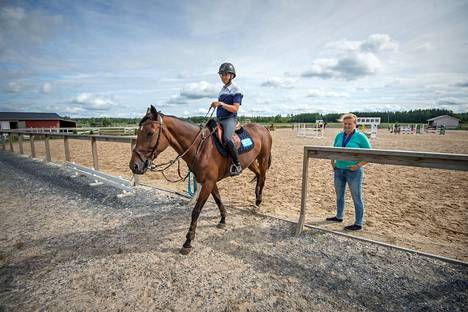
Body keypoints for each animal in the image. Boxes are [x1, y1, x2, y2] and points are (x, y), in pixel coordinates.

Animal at [130, 106, 272, 255]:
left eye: (150, 133)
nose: (134, 166)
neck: (202, 148)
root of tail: (263, 128)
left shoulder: (208, 183)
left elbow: (196, 211)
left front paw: (188, 241)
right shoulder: (210, 182)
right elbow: (218, 199)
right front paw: (223, 219)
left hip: (263, 159)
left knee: (262, 178)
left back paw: (258, 202)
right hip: (251, 162)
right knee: (258, 175)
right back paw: (256, 199)